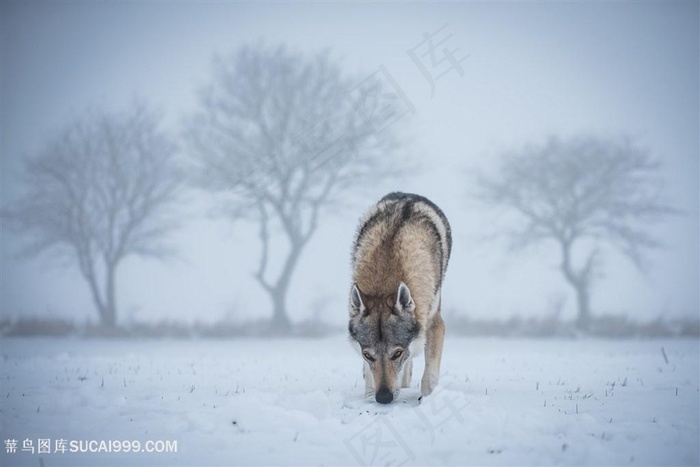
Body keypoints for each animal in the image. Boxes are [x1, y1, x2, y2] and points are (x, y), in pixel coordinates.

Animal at [348, 192, 452, 404]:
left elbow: (429, 377)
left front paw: (426, 401)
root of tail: (408, 195)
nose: (384, 398)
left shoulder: (435, 324)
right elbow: (369, 376)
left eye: (397, 353)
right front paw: (369, 397)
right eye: (368, 355)